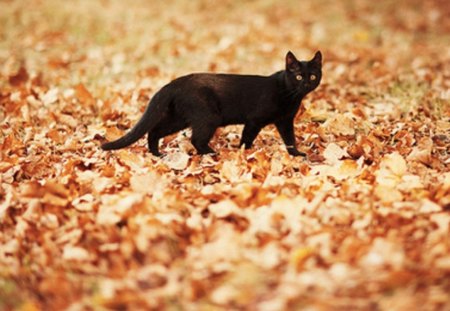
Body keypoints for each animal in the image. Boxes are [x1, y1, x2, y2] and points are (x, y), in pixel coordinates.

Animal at [100, 52, 322, 158]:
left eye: (312, 75)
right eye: (298, 76)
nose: (306, 84)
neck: (291, 96)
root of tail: (173, 83)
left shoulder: (285, 121)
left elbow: (290, 139)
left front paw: (297, 155)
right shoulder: (254, 121)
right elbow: (247, 140)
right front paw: (244, 154)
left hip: (179, 118)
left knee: (154, 131)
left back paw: (157, 154)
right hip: (208, 117)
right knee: (195, 139)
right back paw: (212, 153)